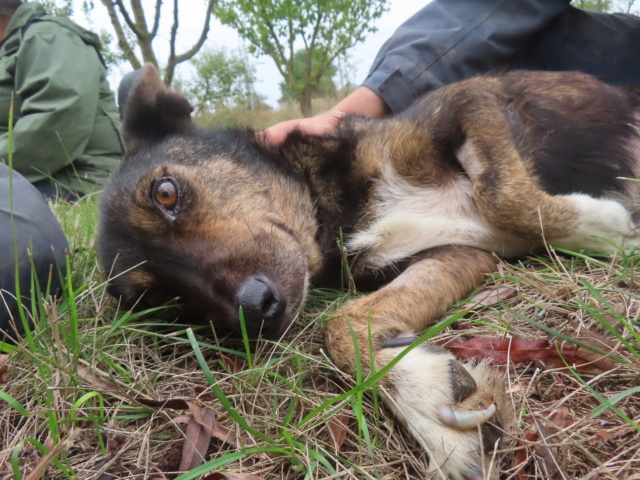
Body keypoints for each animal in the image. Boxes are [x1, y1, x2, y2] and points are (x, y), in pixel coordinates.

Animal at [97, 64, 640, 480]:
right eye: (164, 300)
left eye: (165, 193)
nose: (257, 309)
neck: (336, 210)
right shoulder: (458, 254)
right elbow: (341, 324)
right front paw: (424, 397)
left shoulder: (471, 99)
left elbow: (507, 198)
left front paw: (606, 229)